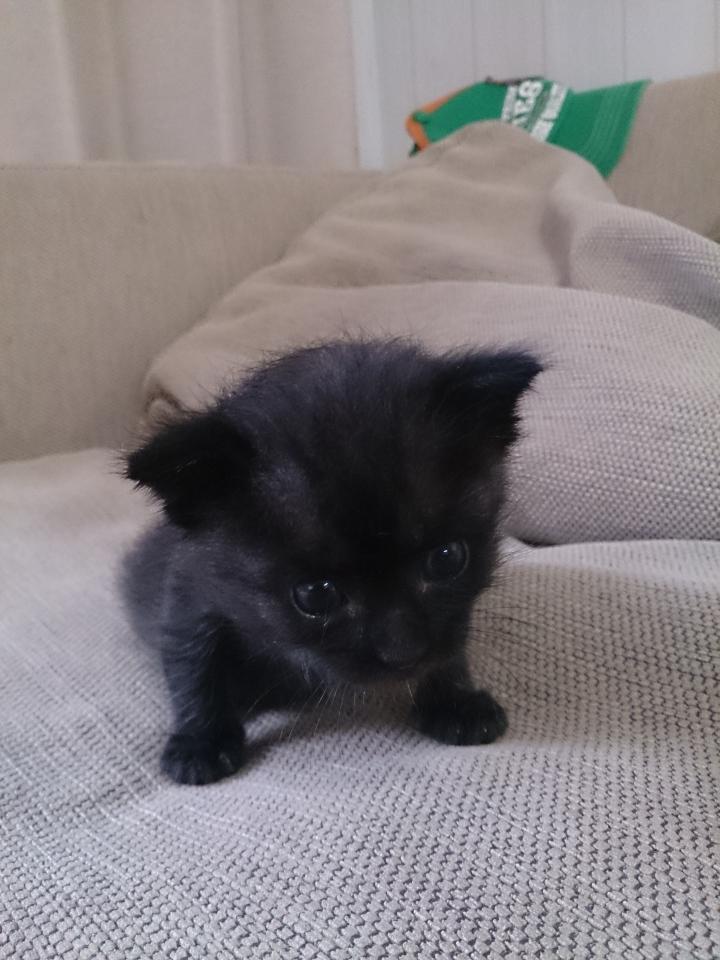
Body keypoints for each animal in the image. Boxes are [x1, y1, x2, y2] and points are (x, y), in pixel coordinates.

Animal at [122, 338, 541, 785]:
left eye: (447, 558)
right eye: (315, 595)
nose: (403, 652)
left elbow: (451, 645)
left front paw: (455, 701)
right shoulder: (190, 591)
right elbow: (192, 664)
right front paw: (200, 742)